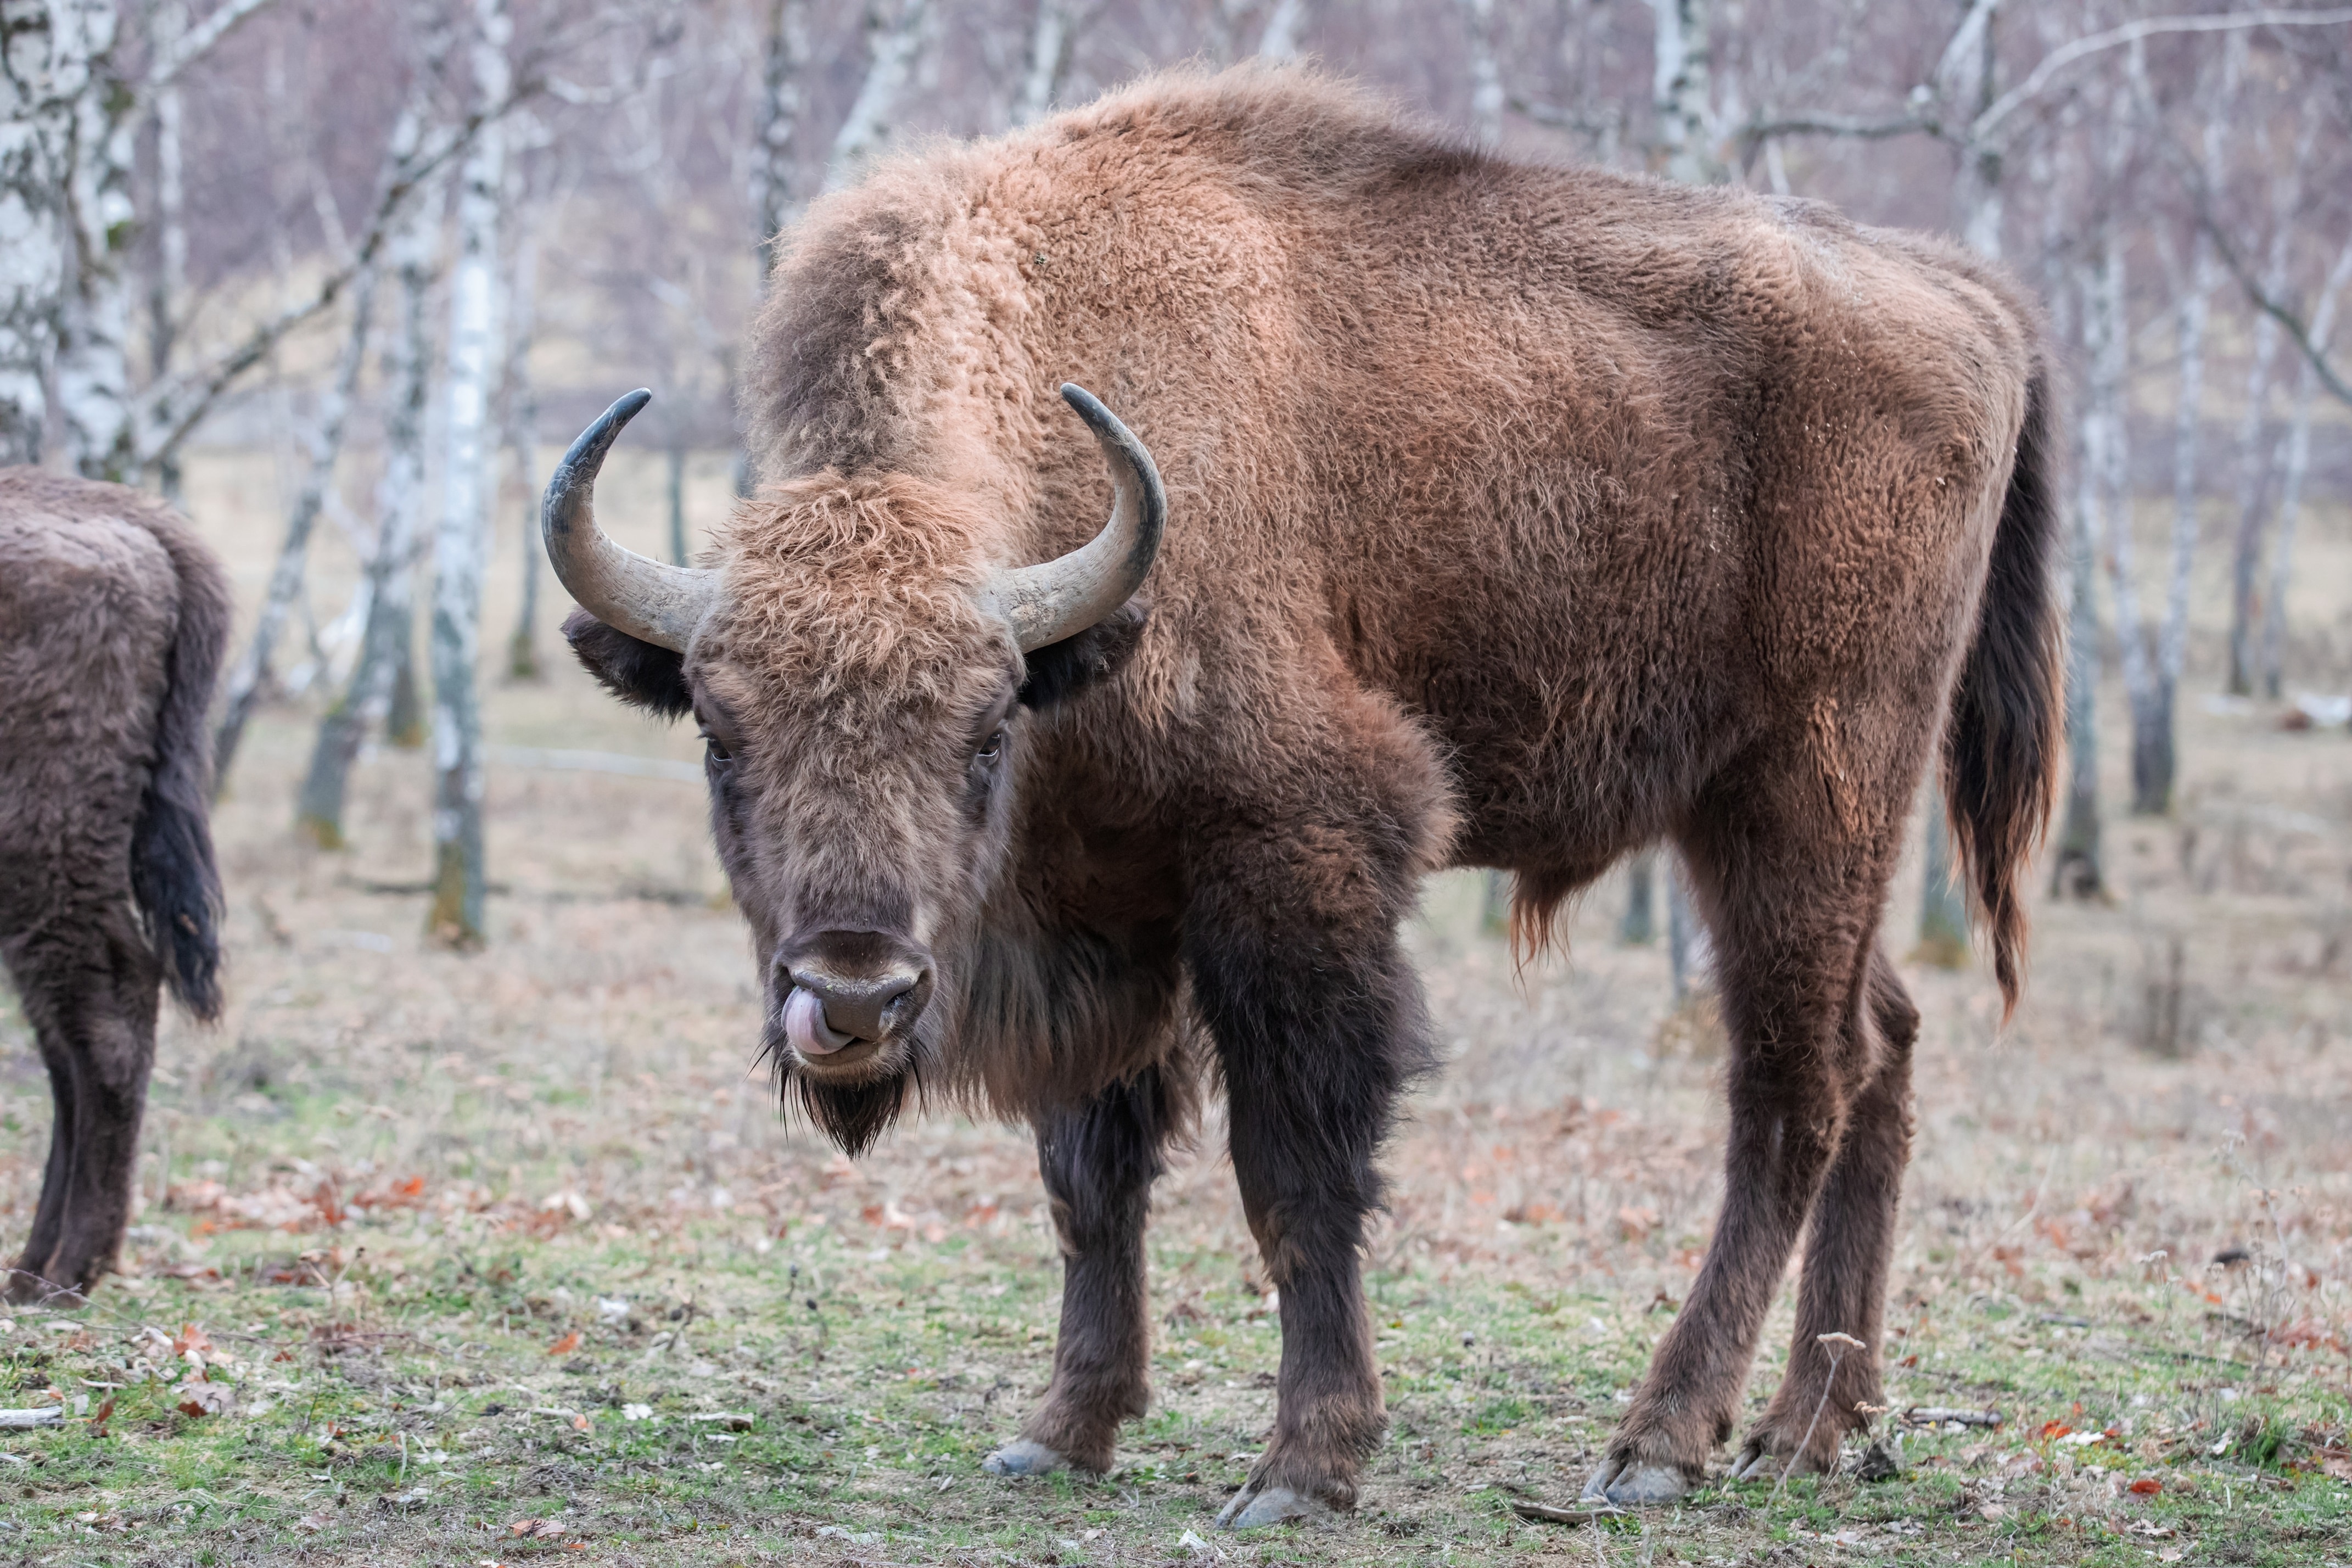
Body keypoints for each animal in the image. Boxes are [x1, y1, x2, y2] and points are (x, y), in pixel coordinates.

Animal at [541, 68, 2051, 1523]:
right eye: (720, 735)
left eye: (981, 733)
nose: (853, 999)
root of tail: (1972, 296)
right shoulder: (1102, 906)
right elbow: (1090, 1178)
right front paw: (1060, 1436)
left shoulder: (1295, 861)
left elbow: (1297, 1176)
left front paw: (1303, 1467)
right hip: (1780, 826)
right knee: (1883, 1047)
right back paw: (1813, 1432)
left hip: (1808, 787)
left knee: (1792, 1087)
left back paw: (1661, 1446)